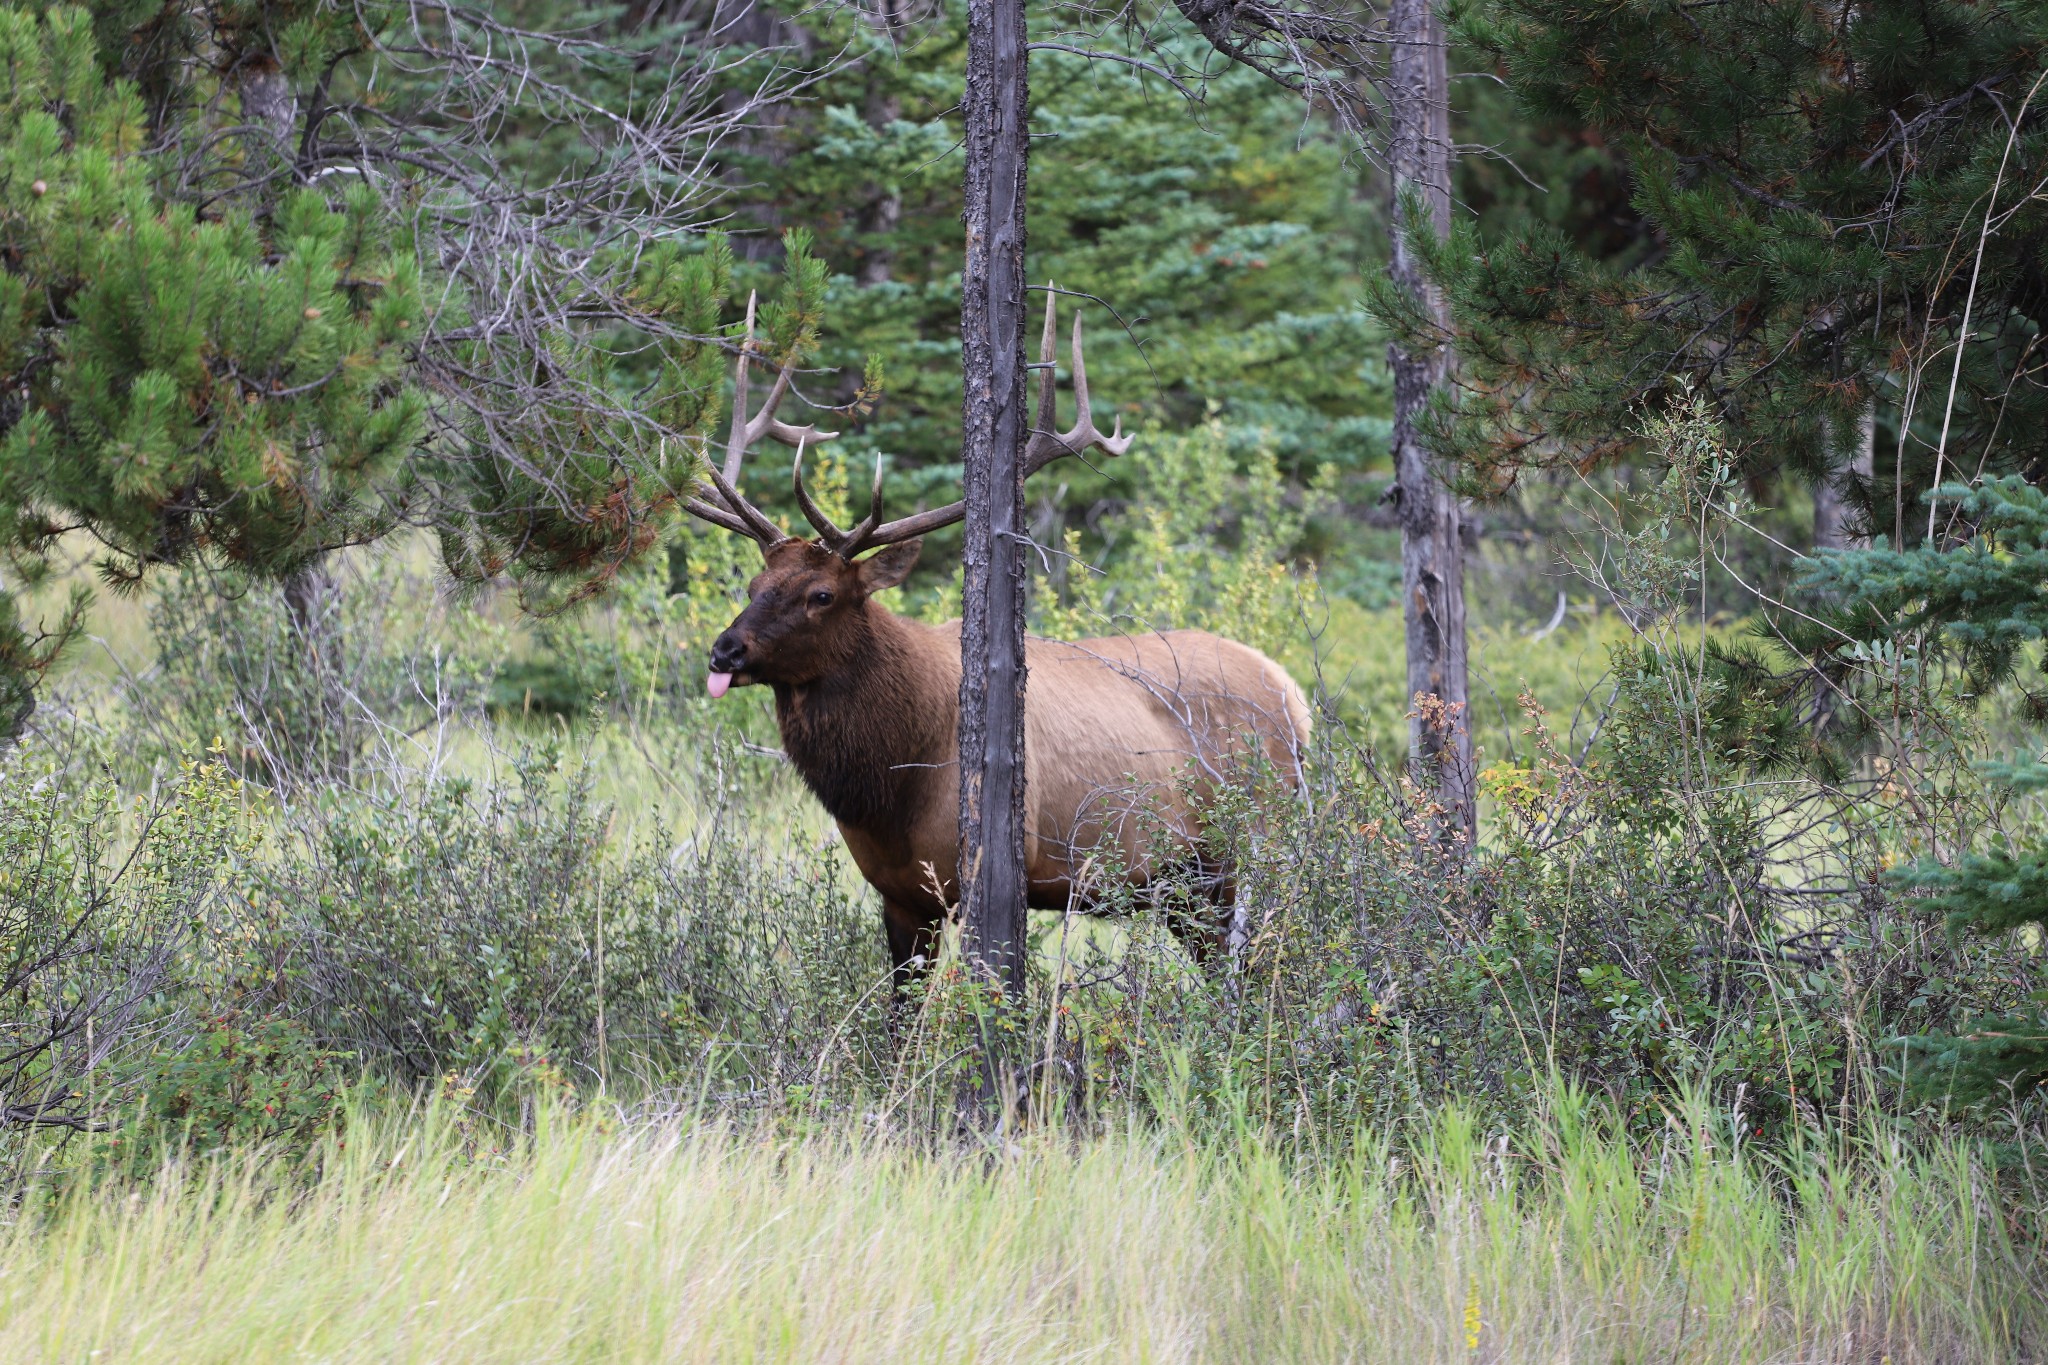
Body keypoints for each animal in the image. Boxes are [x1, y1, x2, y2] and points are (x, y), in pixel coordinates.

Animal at [679, 294, 1302, 982]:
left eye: (822, 595)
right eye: (754, 582)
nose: (725, 650)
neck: (889, 786)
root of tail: (1295, 693)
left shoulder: (995, 877)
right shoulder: (900, 896)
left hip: (1244, 853)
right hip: (1185, 886)